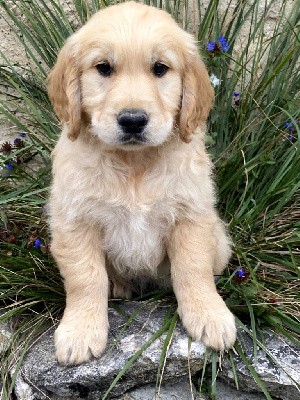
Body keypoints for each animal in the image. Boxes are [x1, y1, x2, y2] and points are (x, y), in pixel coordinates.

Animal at [48, 1, 237, 368]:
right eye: (104, 68)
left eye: (160, 68)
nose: (133, 120)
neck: (135, 164)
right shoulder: (74, 220)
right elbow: (85, 278)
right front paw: (81, 331)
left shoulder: (191, 214)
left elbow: (193, 269)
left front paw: (209, 315)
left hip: (219, 239)